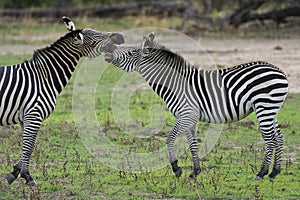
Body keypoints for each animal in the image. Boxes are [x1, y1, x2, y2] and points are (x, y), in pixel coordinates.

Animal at [2, 16, 123, 186]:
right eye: (94, 37)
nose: (121, 36)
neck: (42, 77)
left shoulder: (26, 118)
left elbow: (27, 146)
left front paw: (14, 172)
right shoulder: (34, 115)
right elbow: (29, 146)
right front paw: (27, 176)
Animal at [104, 32, 290, 180]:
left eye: (130, 52)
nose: (108, 51)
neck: (175, 84)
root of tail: (280, 71)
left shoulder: (187, 114)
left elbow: (169, 138)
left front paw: (177, 168)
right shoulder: (191, 118)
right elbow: (192, 144)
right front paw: (195, 172)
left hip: (264, 107)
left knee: (270, 140)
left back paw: (261, 173)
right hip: (270, 109)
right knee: (279, 137)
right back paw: (275, 172)